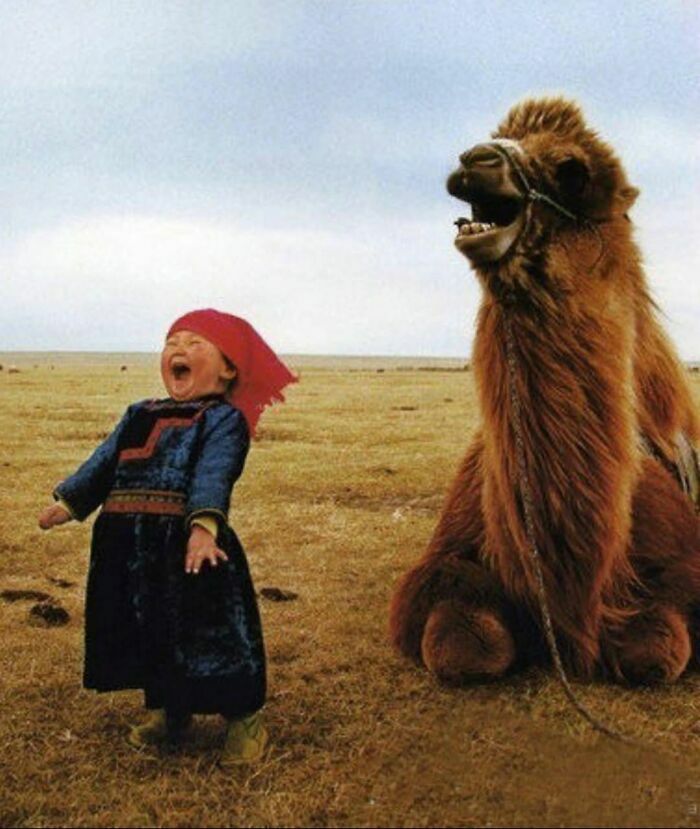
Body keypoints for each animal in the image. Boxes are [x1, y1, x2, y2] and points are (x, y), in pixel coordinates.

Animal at [389, 97, 700, 686]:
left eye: (573, 171)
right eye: (494, 136)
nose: (474, 160)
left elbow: (657, 650)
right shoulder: (444, 561)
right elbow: (464, 647)